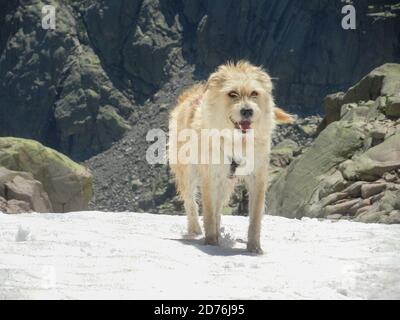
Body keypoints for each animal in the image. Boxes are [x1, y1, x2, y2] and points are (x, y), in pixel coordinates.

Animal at [167, 61, 292, 254]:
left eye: (254, 93)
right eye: (232, 94)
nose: (247, 111)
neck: (237, 140)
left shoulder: (257, 177)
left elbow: (255, 215)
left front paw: (254, 247)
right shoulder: (209, 176)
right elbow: (208, 210)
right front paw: (211, 242)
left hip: (226, 182)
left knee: (218, 206)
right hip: (187, 172)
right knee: (191, 201)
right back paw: (196, 229)